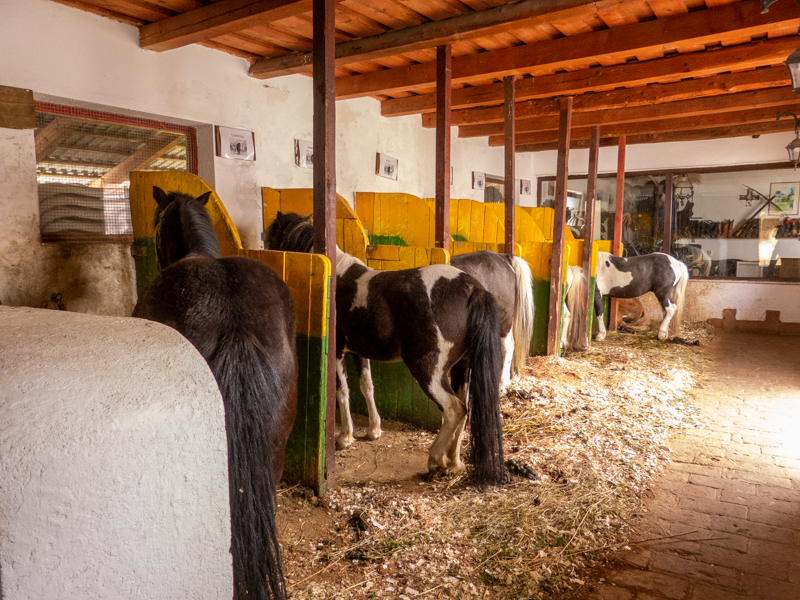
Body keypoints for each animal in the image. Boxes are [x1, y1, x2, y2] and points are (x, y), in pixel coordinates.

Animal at [265, 212, 506, 487]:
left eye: (272, 236)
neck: (338, 278)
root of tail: (473, 288)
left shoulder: (337, 351)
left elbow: (342, 391)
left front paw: (345, 437)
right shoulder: (359, 352)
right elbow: (366, 386)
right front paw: (373, 430)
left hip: (429, 371)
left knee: (455, 409)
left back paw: (435, 459)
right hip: (462, 368)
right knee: (464, 410)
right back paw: (454, 463)